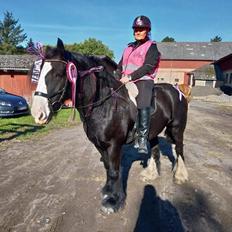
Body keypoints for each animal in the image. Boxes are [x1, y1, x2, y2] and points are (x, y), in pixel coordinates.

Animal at [30, 38, 189, 214]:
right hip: (152, 131)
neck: (103, 104)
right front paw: (108, 191)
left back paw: (180, 175)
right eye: (39, 73)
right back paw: (151, 173)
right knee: (155, 149)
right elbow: (108, 167)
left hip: (177, 129)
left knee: (179, 149)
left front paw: (114, 201)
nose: (38, 113)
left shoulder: (114, 144)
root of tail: (176, 90)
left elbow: (114, 171)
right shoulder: (99, 144)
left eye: (58, 74)